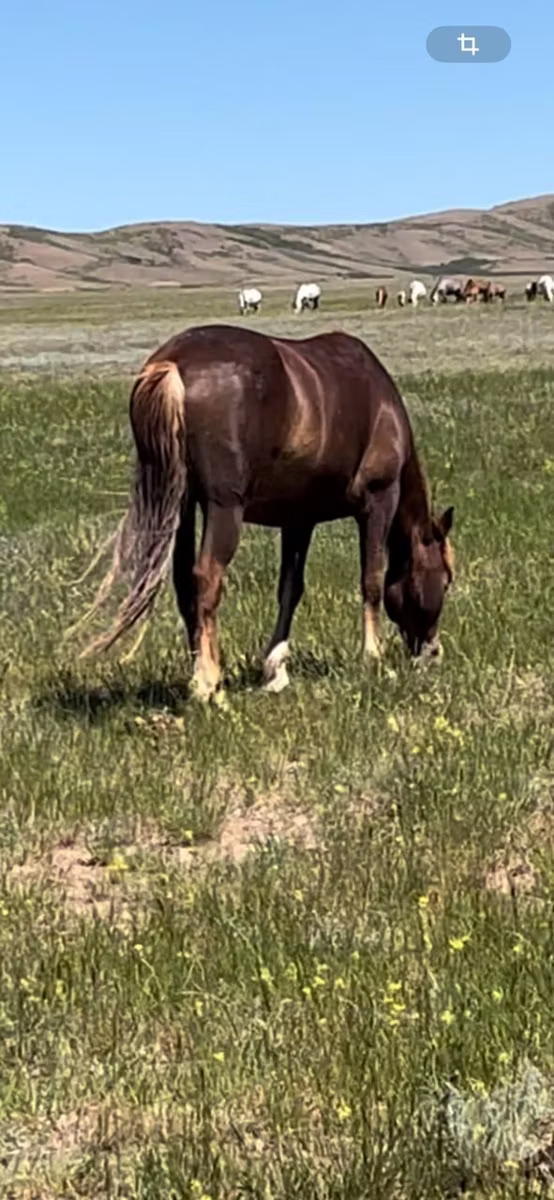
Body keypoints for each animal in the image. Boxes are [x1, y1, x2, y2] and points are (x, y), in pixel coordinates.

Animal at [74, 326, 454, 700]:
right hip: (224, 508)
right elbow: (372, 580)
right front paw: (373, 658)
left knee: (185, 584)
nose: (433, 653)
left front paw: (275, 670)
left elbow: (290, 588)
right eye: (446, 580)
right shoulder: (378, 501)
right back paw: (208, 683)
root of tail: (173, 363)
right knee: (207, 577)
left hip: (180, 504)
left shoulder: (298, 520)